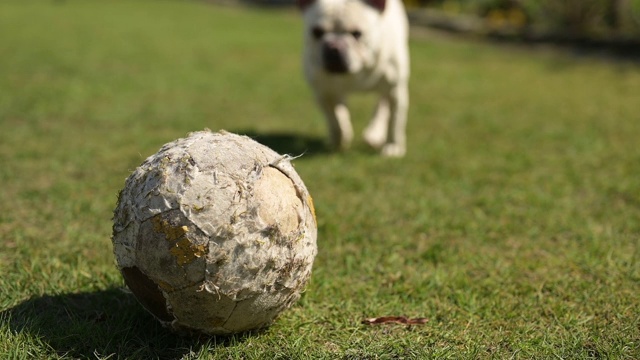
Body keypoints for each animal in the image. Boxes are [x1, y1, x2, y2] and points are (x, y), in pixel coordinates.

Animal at [298, 0, 410, 156]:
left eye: (357, 33)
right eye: (317, 32)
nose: (334, 46)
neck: (357, 69)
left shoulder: (395, 90)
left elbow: (395, 121)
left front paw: (393, 147)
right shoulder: (323, 93)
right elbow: (334, 117)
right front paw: (341, 138)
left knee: (382, 104)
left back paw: (374, 134)